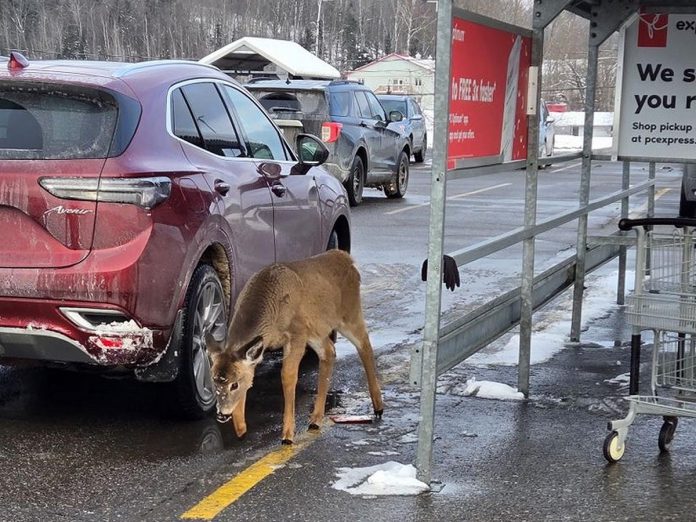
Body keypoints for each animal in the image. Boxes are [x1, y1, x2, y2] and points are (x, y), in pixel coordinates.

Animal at [204, 248, 384, 442]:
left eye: (234, 385)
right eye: (214, 381)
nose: (221, 414)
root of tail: (345, 258)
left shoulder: (296, 334)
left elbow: (287, 376)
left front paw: (288, 434)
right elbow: (251, 375)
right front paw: (241, 429)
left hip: (349, 313)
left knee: (364, 343)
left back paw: (378, 407)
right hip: (315, 330)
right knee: (329, 351)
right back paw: (316, 419)